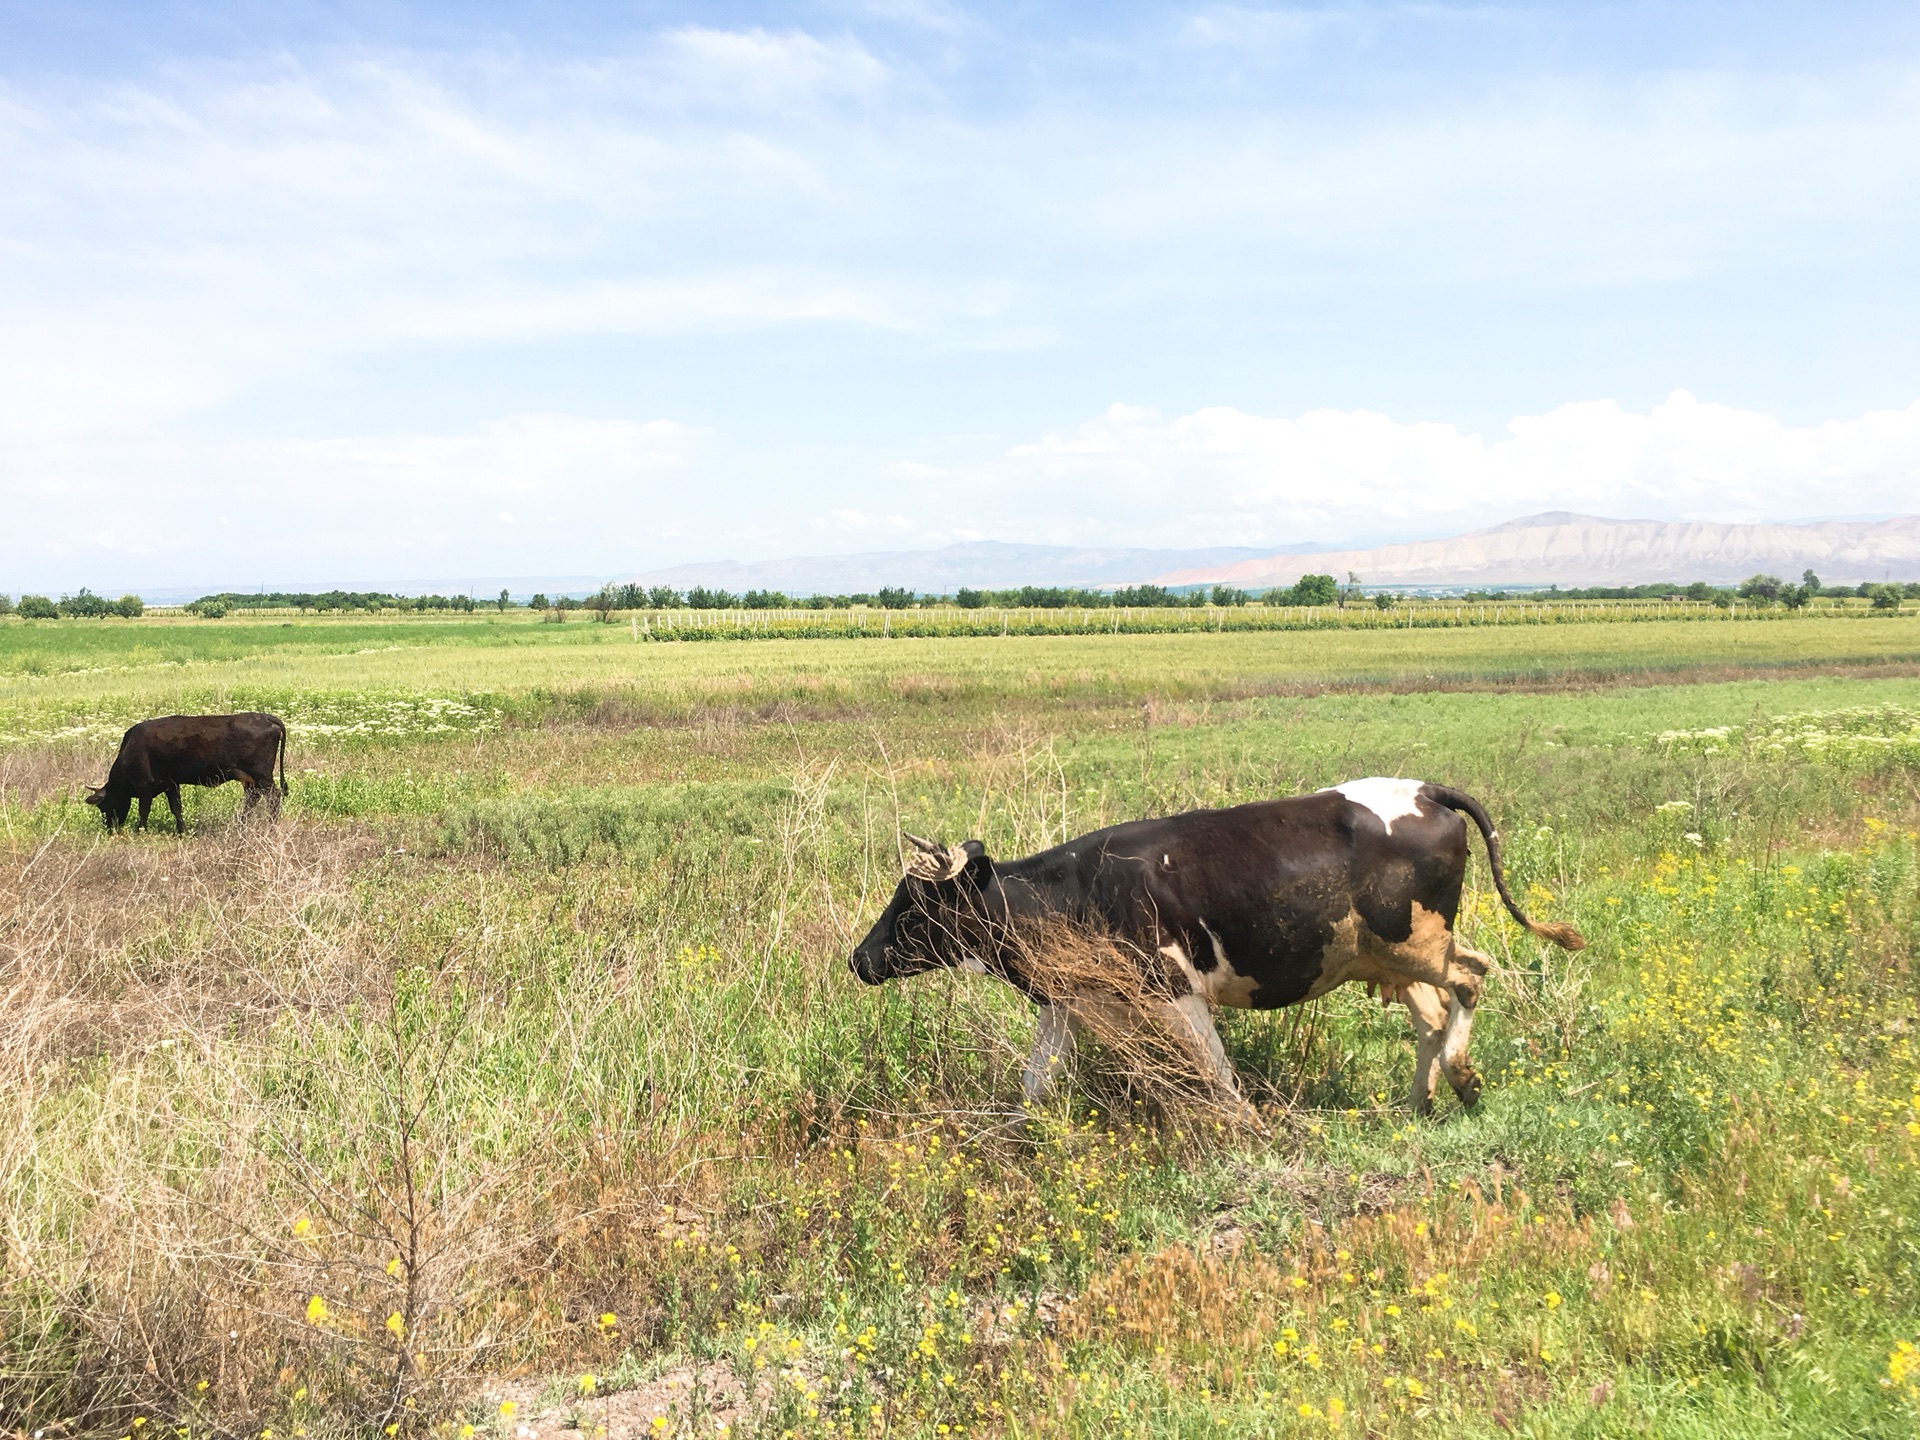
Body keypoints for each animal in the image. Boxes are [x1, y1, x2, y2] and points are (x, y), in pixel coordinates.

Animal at [84, 714, 286, 833]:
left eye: (104, 806)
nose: (109, 828)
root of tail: (264, 717)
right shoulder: (170, 784)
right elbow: (176, 807)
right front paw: (182, 830)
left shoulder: (145, 786)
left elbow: (144, 810)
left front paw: (141, 830)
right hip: (250, 779)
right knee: (253, 798)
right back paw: (241, 824)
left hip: (262, 776)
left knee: (273, 797)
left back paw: (272, 825)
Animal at [848, 783, 1582, 1121]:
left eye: (914, 905)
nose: (858, 959)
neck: (1078, 889)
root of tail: (1427, 789)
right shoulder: (1069, 1001)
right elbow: (1037, 1084)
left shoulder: (1175, 991)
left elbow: (1218, 1078)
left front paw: (1244, 1135)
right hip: (1392, 958)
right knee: (1433, 1014)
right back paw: (1418, 1107)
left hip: (1419, 942)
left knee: (1473, 977)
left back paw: (1463, 1080)